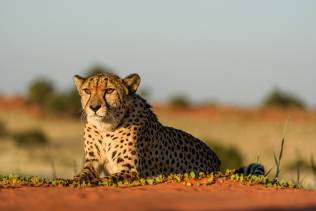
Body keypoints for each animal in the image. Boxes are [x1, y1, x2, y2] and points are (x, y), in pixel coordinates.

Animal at [73, 72, 222, 181]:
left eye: (109, 90)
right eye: (87, 90)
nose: (94, 107)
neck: (106, 127)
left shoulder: (132, 170)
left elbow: (104, 180)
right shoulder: (93, 161)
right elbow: (81, 176)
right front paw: (72, 181)